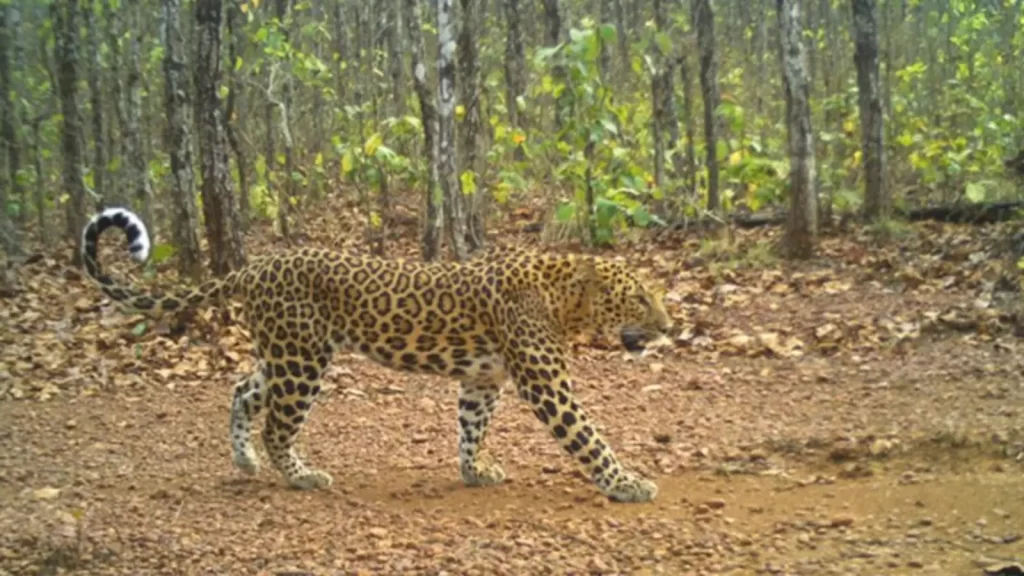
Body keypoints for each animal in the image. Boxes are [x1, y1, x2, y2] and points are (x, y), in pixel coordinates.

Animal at [80, 206, 675, 503]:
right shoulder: (546, 385)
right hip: (302, 362)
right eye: (640, 297)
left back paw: (244, 460)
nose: (669, 327)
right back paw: (300, 476)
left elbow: (471, 428)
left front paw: (474, 471)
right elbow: (589, 437)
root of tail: (254, 267)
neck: (564, 300)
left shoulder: (483, 380)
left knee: (242, 391)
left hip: (282, 355)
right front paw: (625, 484)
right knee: (277, 425)